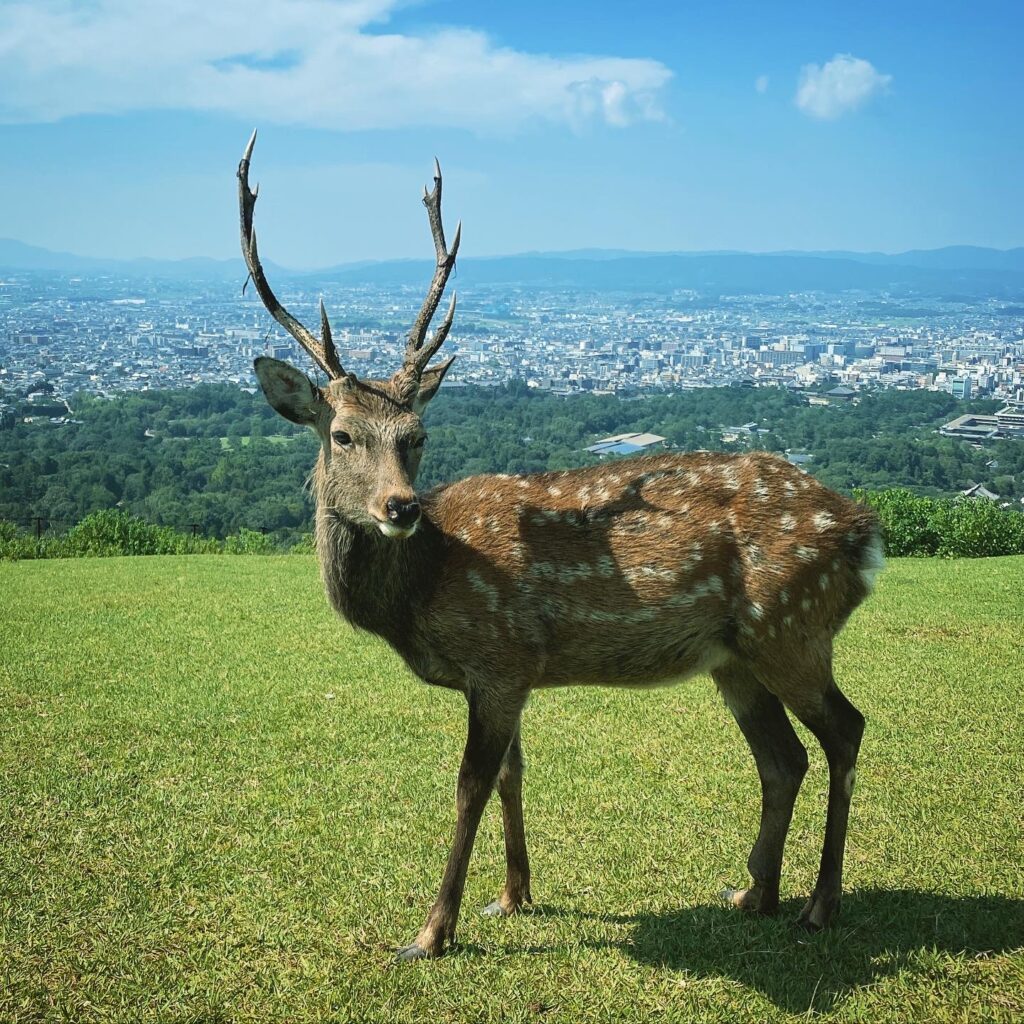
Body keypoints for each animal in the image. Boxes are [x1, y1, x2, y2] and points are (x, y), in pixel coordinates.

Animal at [237, 134, 880, 958]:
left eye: (417, 436)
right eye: (343, 434)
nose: (399, 507)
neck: (421, 595)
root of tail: (863, 533)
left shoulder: (498, 657)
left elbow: (470, 786)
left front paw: (431, 931)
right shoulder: (507, 673)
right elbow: (513, 774)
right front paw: (512, 897)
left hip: (792, 626)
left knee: (844, 731)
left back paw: (821, 904)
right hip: (735, 656)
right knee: (783, 757)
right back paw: (752, 893)